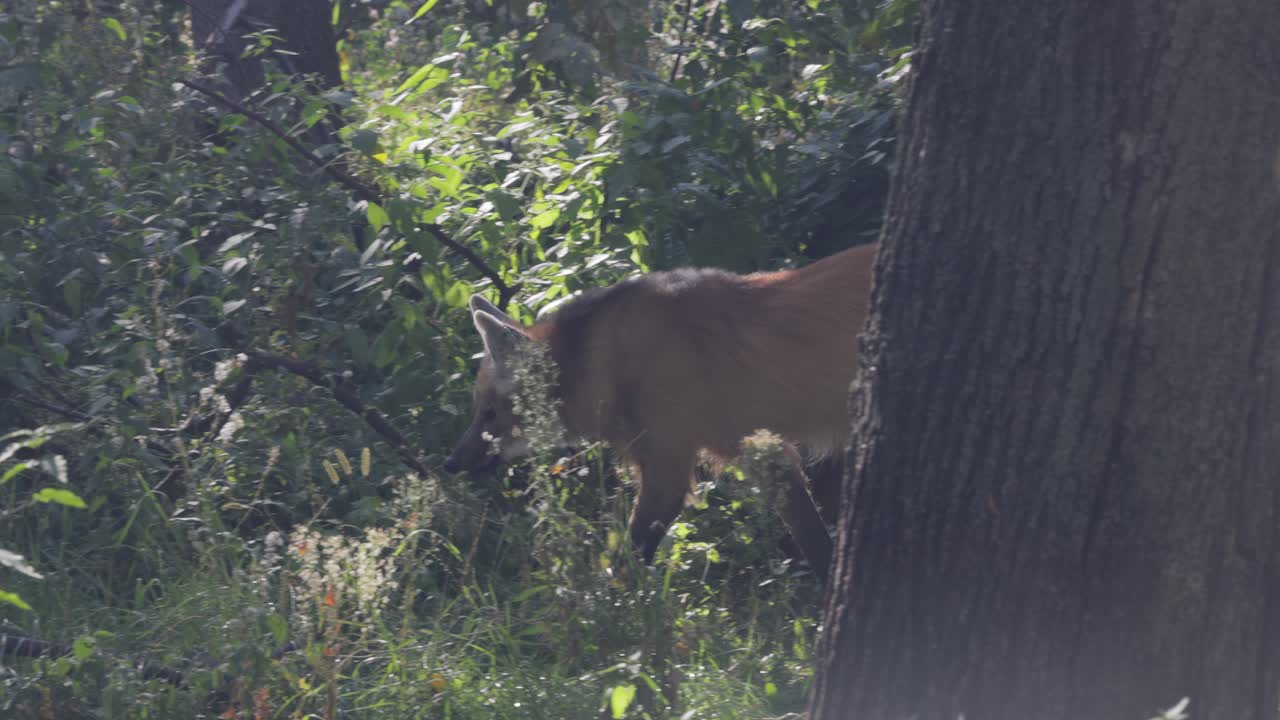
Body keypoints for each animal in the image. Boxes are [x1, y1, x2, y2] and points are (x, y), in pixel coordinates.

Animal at [443, 243, 878, 580]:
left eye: (489, 413)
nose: (450, 463)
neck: (607, 363)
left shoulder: (668, 468)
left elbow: (625, 565)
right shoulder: (763, 452)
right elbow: (816, 543)